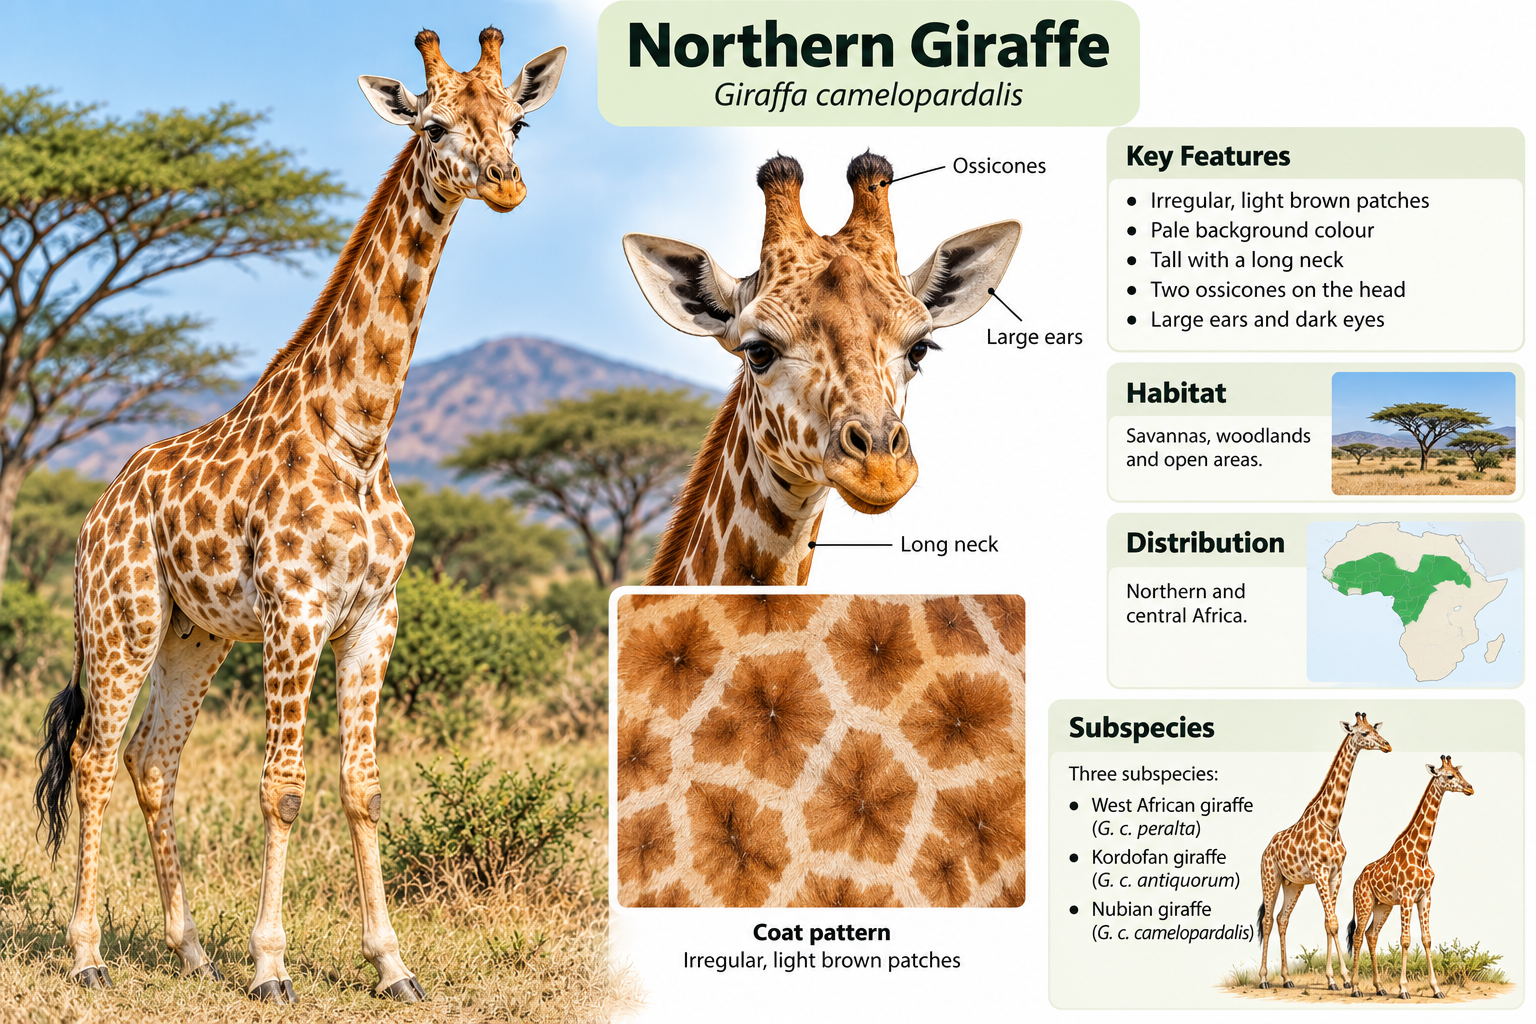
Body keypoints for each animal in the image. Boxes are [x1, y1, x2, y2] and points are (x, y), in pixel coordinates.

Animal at [31, 28, 565, 1002]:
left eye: (518, 120)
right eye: (433, 125)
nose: (506, 184)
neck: (359, 433)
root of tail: (97, 511)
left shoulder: (374, 617)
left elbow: (363, 786)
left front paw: (392, 965)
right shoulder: (297, 612)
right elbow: (283, 785)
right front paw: (272, 966)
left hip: (194, 634)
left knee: (150, 757)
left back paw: (191, 949)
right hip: (122, 619)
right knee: (92, 758)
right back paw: (88, 954)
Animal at [1256, 712, 1391, 990]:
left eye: (1375, 728)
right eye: (1363, 733)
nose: (1387, 745)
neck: (1331, 821)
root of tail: (1266, 848)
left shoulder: (1335, 874)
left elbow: (1330, 923)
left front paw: (1334, 980)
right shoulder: (1319, 872)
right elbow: (1332, 923)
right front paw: (1345, 979)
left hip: (1293, 884)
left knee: (1282, 919)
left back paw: (1287, 979)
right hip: (1270, 877)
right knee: (1267, 920)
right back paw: (1263, 979)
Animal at [1347, 755, 1475, 999]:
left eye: (1460, 772)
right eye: (1449, 776)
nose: (1470, 788)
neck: (1422, 851)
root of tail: (1357, 881)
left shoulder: (1425, 896)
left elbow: (1427, 939)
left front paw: (1436, 989)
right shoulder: (1407, 896)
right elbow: (1405, 940)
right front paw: (1404, 989)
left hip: (1383, 906)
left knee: (1371, 935)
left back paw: (1379, 987)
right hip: (1364, 902)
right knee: (1358, 935)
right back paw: (1356, 987)